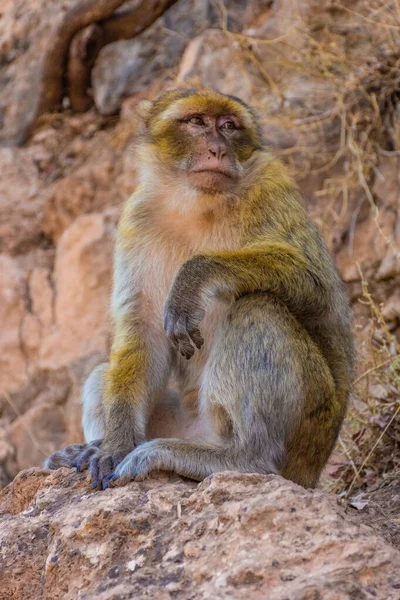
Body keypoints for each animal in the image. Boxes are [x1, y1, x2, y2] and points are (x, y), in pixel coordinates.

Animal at [45, 89, 354, 492]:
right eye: (196, 122)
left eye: (229, 126)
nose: (217, 149)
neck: (197, 204)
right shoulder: (136, 216)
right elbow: (142, 327)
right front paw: (114, 445)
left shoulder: (272, 184)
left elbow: (318, 287)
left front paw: (193, 278)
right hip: (185, 421)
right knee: (103, 373)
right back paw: (93, 447)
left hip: (308, 434)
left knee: (259, 307)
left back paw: (245, 457)